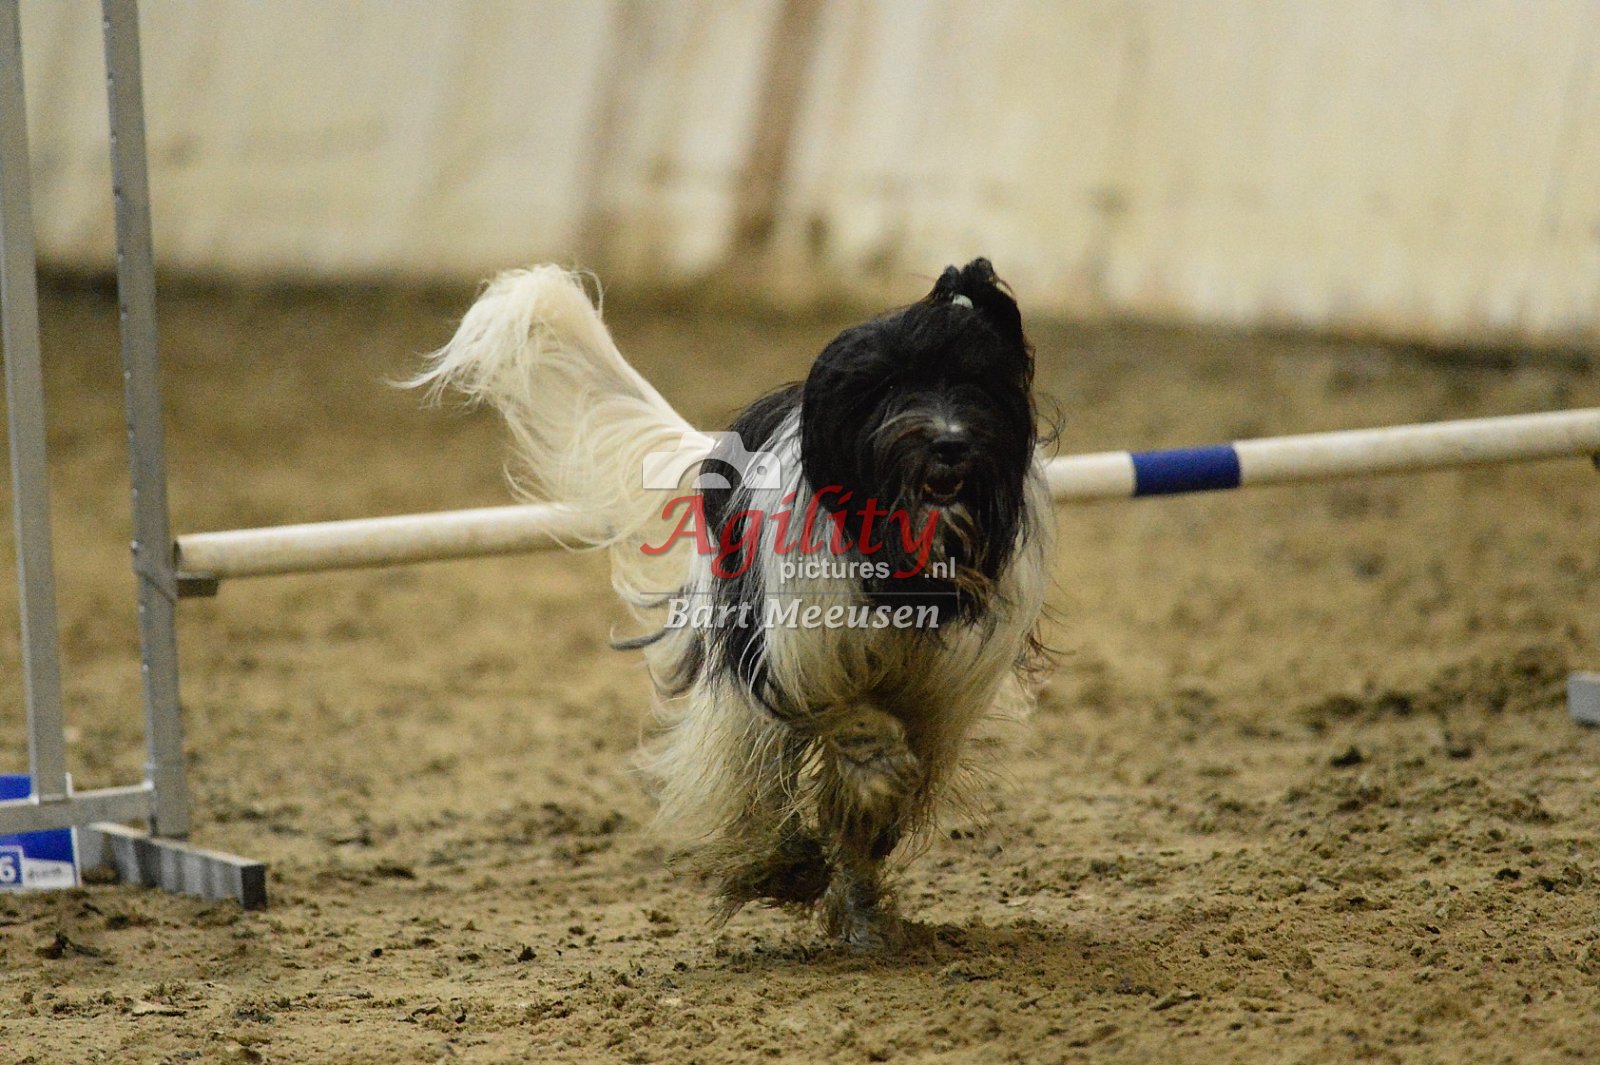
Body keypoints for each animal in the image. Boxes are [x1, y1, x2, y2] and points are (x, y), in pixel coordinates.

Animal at [414, 258, 1052, 947]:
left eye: (975, 383)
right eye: (888, 387)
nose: (949, 443)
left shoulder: (946, 689)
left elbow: (886, 784)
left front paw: (862, 878)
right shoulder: (791, 654)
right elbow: (850, 725)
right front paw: (828, 830)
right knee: (757, 761)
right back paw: (782, 862)